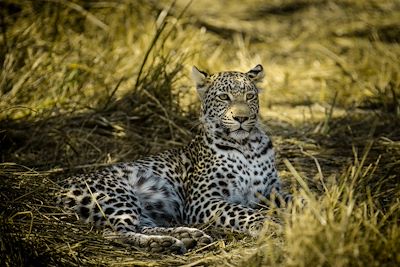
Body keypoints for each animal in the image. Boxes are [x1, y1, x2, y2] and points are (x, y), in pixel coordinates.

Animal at [57, 65, 290, 255]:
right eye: (224, 97)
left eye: (250, 96)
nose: (241, 118)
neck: (247, 147)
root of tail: (56, 185)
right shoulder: (202, 200)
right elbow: (241, 210)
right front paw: (267, 223)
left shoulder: (271, 191)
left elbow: (296, 198)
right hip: (115, 195)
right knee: (114, 232)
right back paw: (163, 243)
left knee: (140, 225)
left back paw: (188, 237)